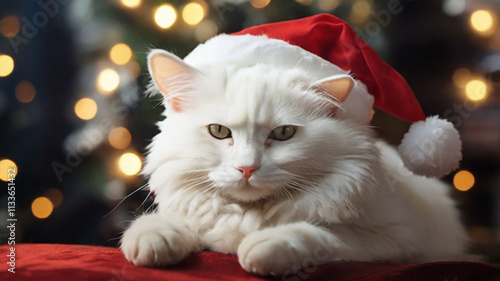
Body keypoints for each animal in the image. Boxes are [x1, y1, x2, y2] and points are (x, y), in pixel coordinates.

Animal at [119, 34, 466, 274]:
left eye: (283, 133)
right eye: (218, 131)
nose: (247, 168)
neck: (251, 214)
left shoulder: (397, 242)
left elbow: (319, 234)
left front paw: (263, 247)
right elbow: (164, 223)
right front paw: (155, 240)